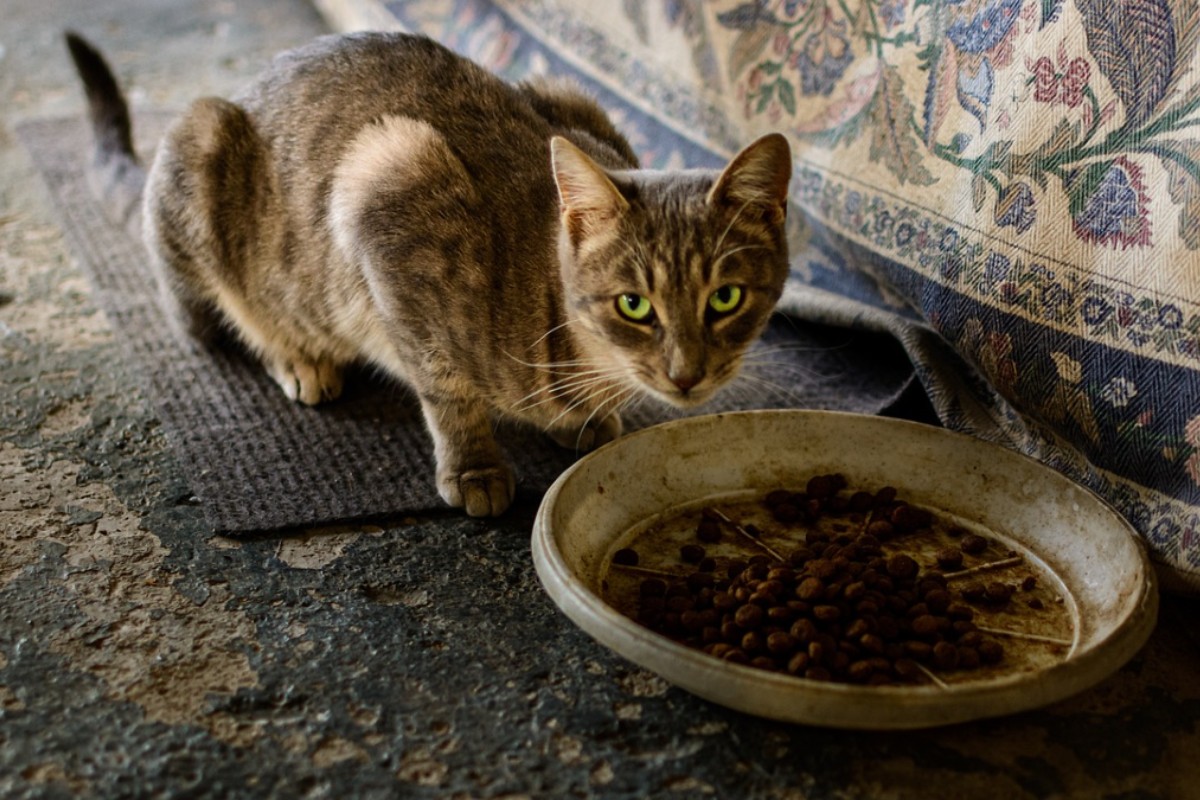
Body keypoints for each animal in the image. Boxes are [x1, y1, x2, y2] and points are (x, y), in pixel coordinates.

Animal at [68, 28, 796, 515]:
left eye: (726, 299)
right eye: (635, 305)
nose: (687, 374)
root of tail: (241, 87)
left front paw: (582, 422)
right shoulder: (388, 192)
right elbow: (445, 388)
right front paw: (474, 466)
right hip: (202, 155)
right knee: (224, 322)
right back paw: (299, 356)